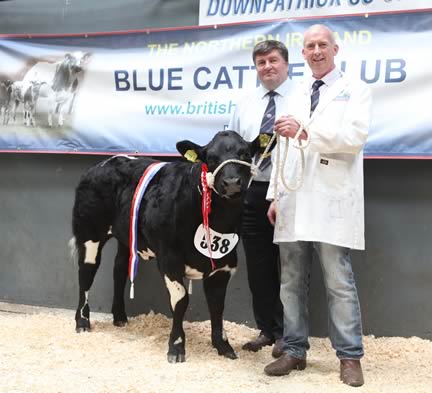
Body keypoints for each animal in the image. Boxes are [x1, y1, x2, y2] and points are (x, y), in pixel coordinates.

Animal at [71, 131, 258, 362]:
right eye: (211, 158)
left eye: (246, 154)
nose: (231, 182)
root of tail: (103, 163)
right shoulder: (170, 260)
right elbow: (181, 301)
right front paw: (176, 347)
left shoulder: (224, 264)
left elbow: (217, 306)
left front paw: (223, 346)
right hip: (89, 232)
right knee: (85, 274)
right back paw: (82, 321)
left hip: (126, 238)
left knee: (119, 270)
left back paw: (120, 317)